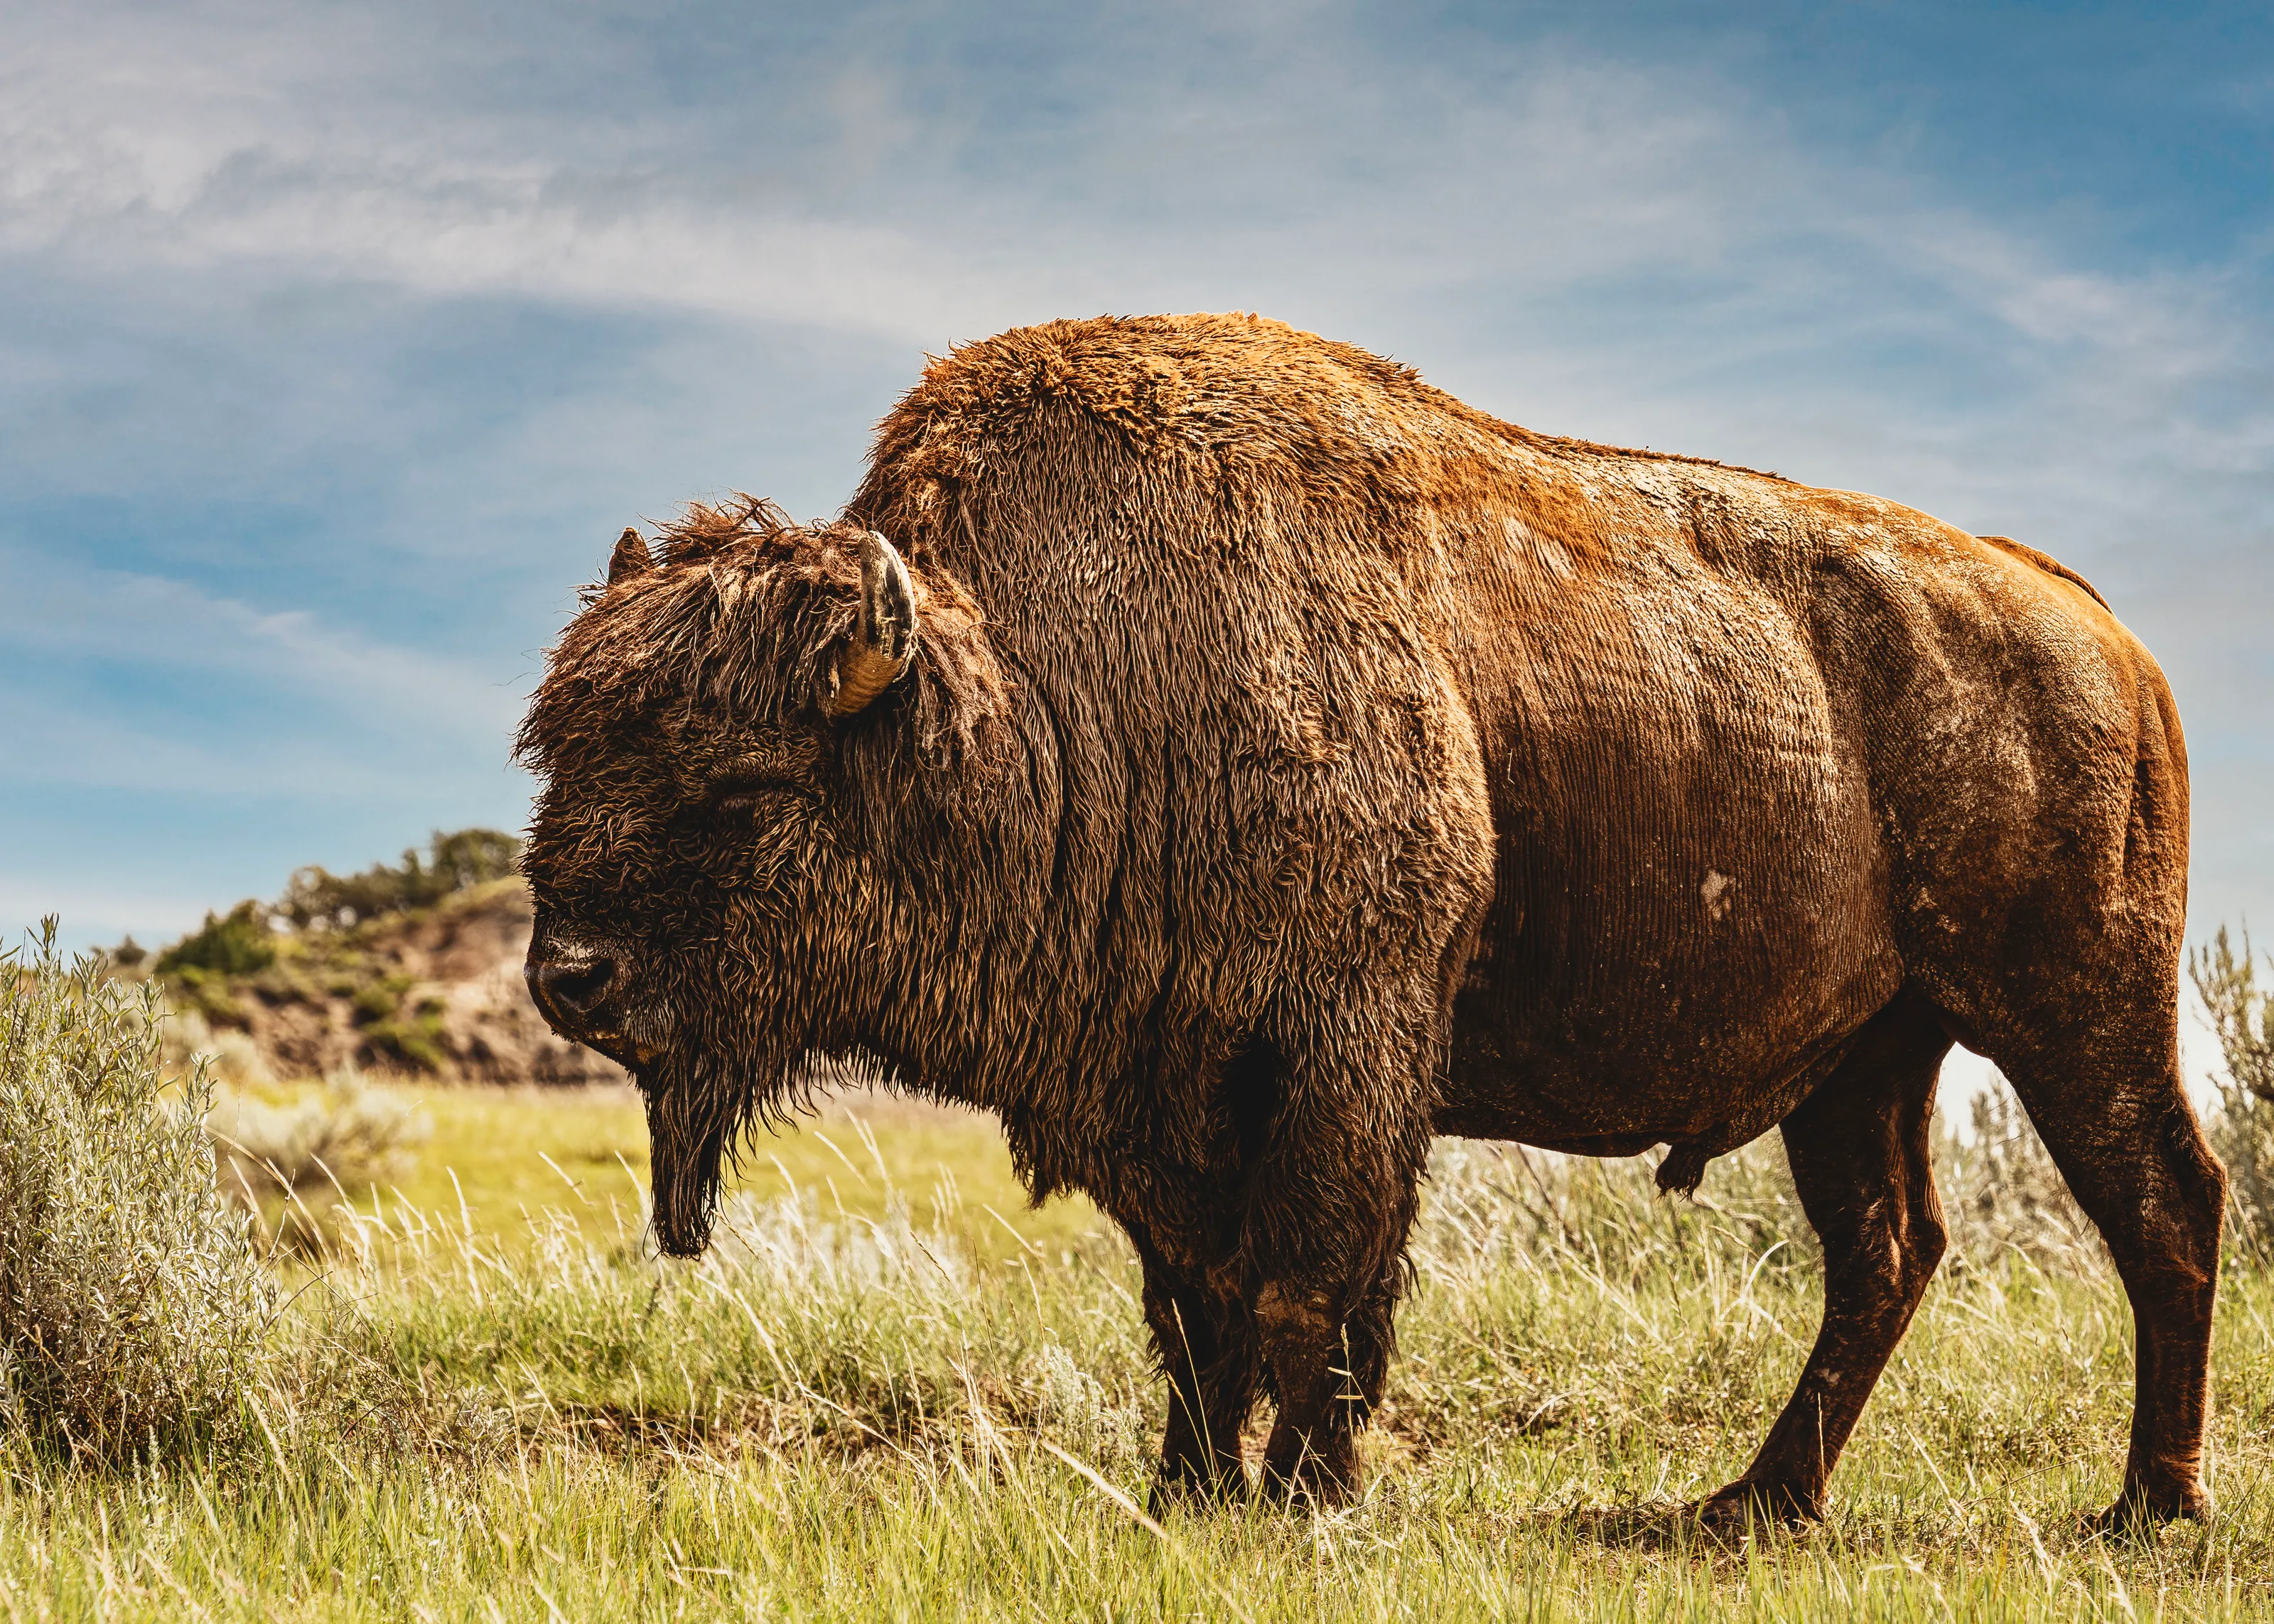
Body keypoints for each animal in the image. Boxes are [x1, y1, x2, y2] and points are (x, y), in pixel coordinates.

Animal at [521, 313, 2222, 1526]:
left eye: (740, 782)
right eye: (563, 752)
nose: (569, 979)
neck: (1045, 697)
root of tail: (2099, 629)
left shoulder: (1342, 1050)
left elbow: (1313, 1283)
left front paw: (1306, 1498)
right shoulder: (1162, 1094)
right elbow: (1194, 1307)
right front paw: (1183, 1496)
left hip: (2075, 1011)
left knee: (2164, 1207)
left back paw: (2145, 1508)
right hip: (1871, 1057)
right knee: (1886, 1250)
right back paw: (1752, 1506)